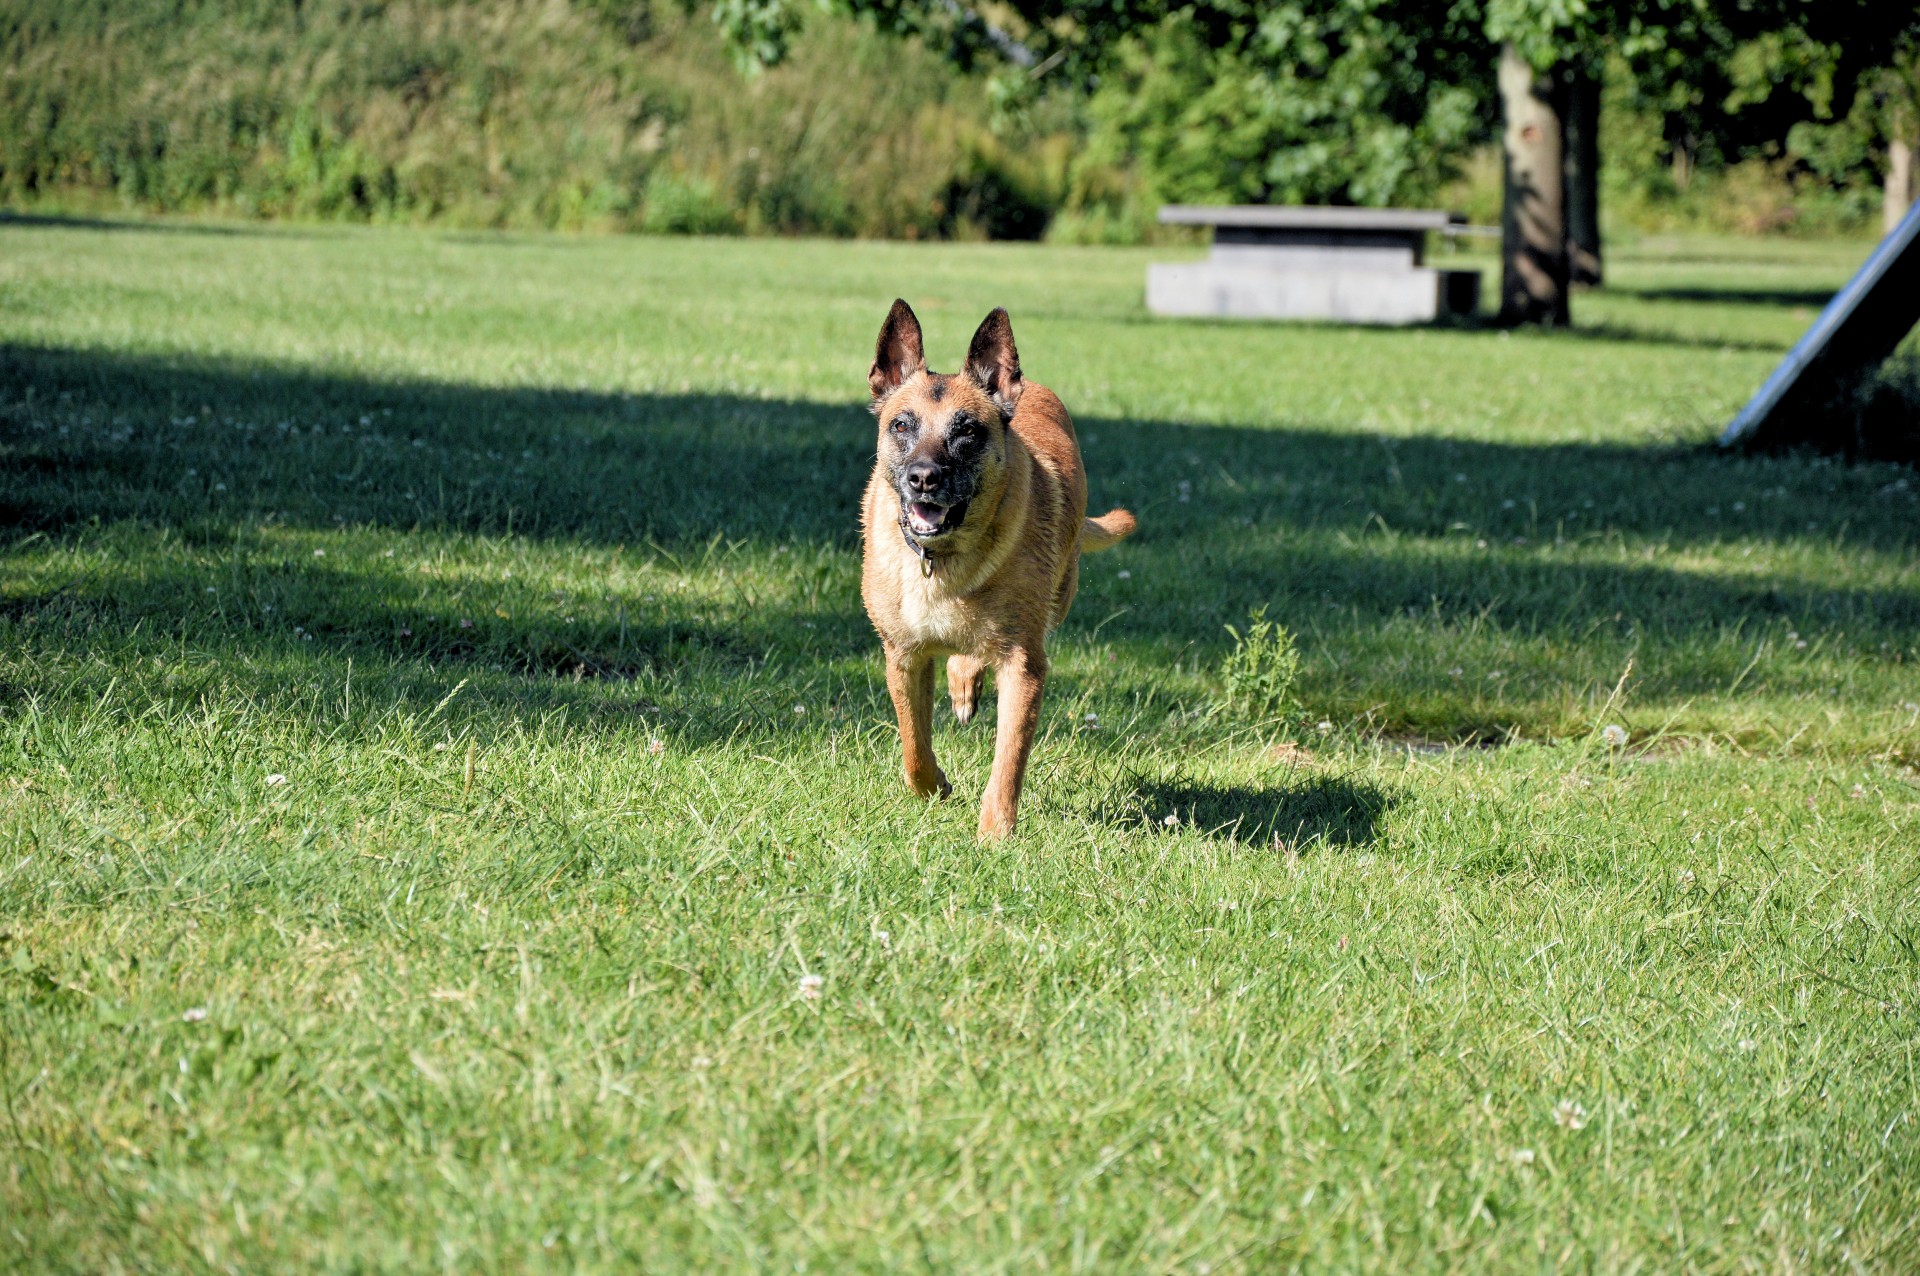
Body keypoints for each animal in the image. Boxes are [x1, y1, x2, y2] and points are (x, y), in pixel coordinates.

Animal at [860, 297, 1136, 836]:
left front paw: (994, 835)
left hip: (1057, 597)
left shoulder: (1024, 665)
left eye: (967, 430)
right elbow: (913, 745)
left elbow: (1009, 759)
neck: (944, 561)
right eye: (901, 425)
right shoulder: (902, 655)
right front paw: (934, 787)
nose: (923, 478)